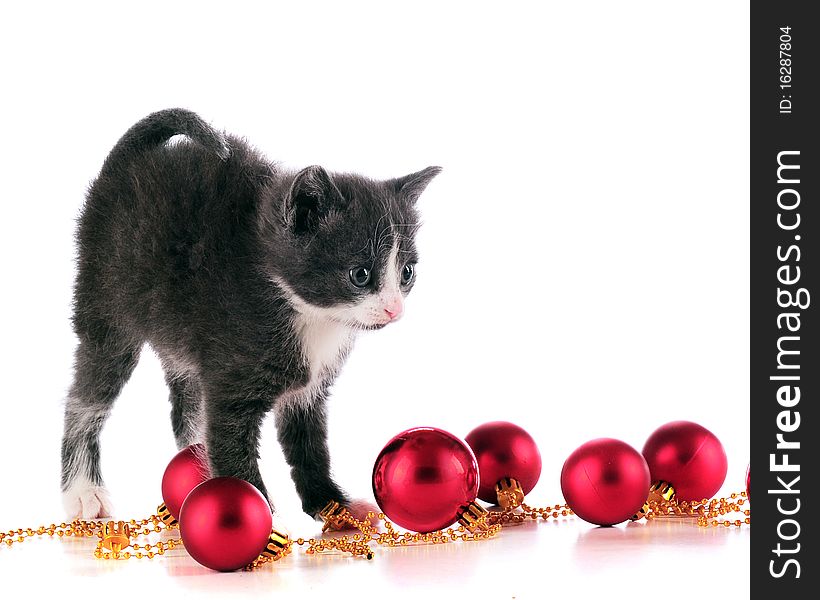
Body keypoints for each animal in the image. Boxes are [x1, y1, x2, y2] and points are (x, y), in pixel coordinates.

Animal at [60, 110, 438, 524]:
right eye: (360, 274)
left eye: (407, 273)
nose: (394, 309)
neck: (308, 315)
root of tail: (122, 165)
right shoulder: (232, 380)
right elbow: (232, 450)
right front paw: (260, 522)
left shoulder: (308, 388)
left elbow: (309, 446)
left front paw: (333, 506)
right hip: (106, 307)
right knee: (86, 398)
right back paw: (83, 490)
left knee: (186, 401)